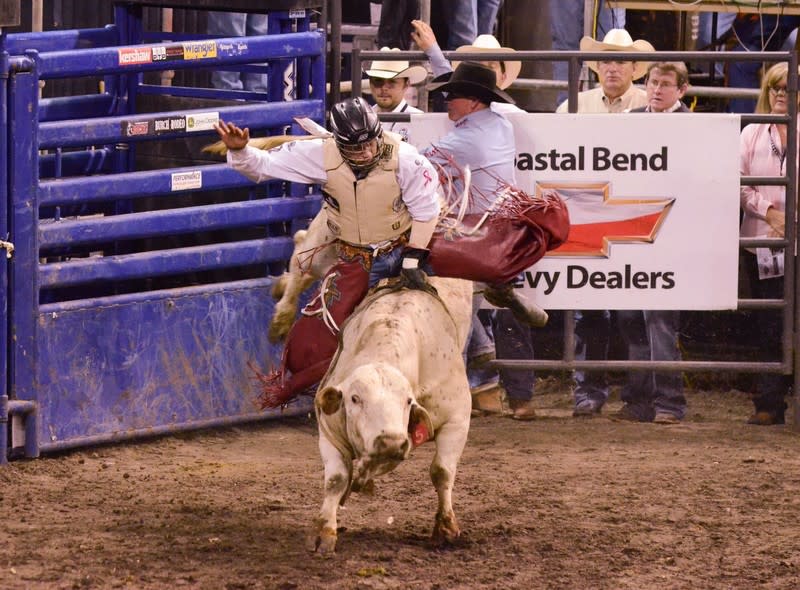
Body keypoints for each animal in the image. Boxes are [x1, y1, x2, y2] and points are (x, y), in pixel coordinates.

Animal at [304, 276, 468, 556]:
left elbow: (442, 472)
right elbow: (336, 480)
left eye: (408, 401)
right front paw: (325, 533)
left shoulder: (457, 418)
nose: (391, 442)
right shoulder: (329, 431)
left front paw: (446, 529)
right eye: (355, 398)